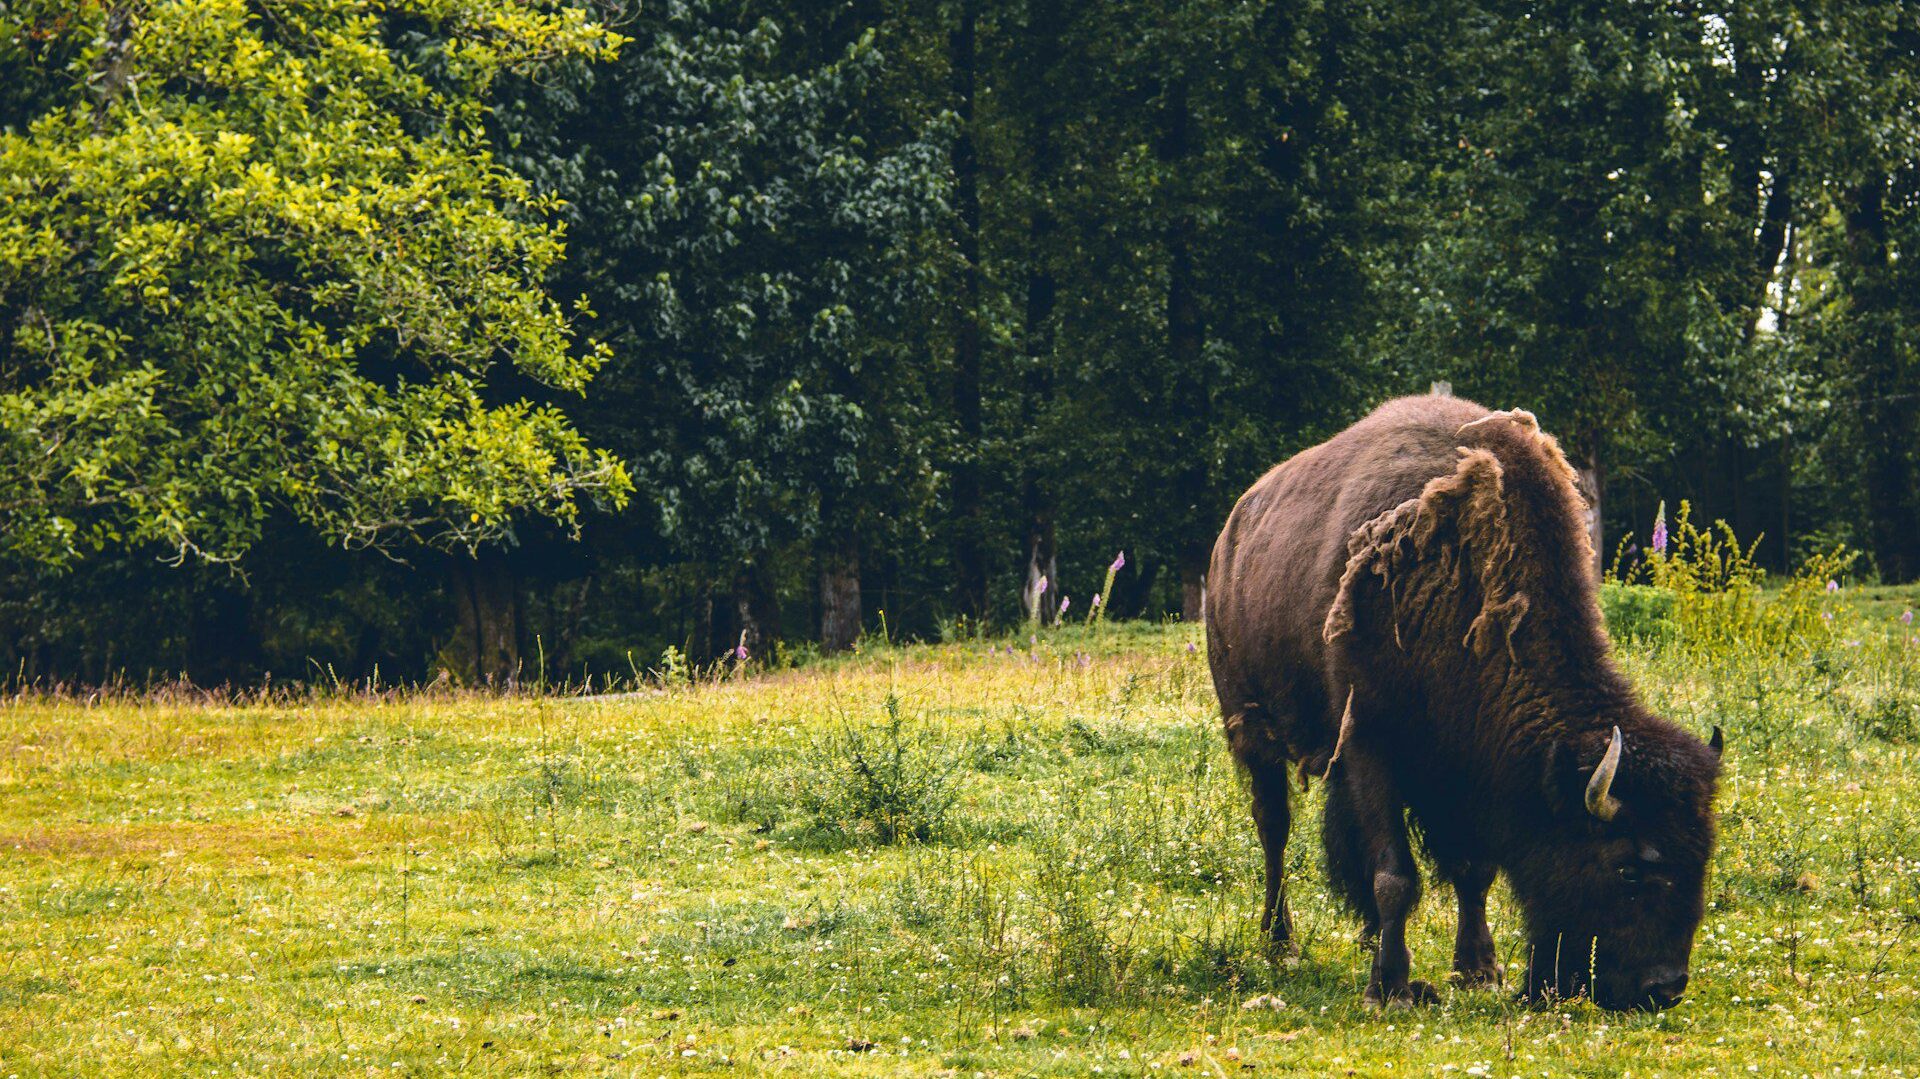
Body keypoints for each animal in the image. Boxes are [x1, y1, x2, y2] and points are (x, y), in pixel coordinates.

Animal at [1206, 394, 1722, 1011]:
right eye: (1627, 868)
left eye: (1702, 855)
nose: (1664, 986)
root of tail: (1230, 537)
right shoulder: (1370, 743)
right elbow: (1396, 875)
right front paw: (1391, 987)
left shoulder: (1462, 768)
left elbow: (1472, 870)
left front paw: (1477, 968)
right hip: (1251, 730)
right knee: (1274, 827)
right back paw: (1281, 942)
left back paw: (1364, 938)